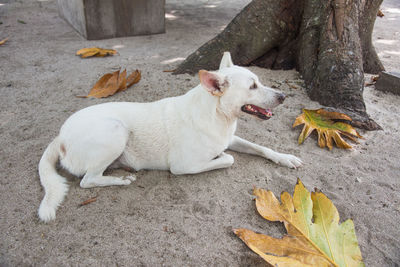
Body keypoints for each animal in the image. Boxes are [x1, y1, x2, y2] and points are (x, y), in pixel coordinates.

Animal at [37, 51, 302, 222]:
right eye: (252, 87)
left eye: (259, 81)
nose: (283, 96)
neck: (217, 114)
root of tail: (59, 136)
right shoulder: (184, 166)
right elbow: (228, 158)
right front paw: (222, 157)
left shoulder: (230, 139)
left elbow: (261, 147)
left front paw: (285, 158)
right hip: (115, 131)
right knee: (88, 180)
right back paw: (121, 179)